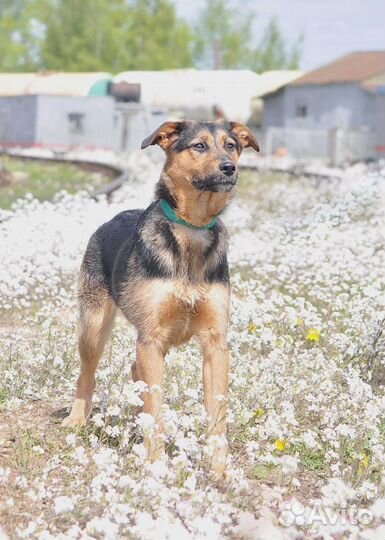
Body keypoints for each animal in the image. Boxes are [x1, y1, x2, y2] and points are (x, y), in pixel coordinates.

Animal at [63, 120, 260, 474]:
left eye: (231, 145)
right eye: (199, 146)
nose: (230, 168)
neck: (192, 227)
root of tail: (112, 217)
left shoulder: (215, 343)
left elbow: (218, 413)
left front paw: (219, 470)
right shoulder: (151, 337)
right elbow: (155, 405)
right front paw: (155, 465)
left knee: (134, 371)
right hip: (94, 326)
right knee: (88, 373)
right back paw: (77, 418)